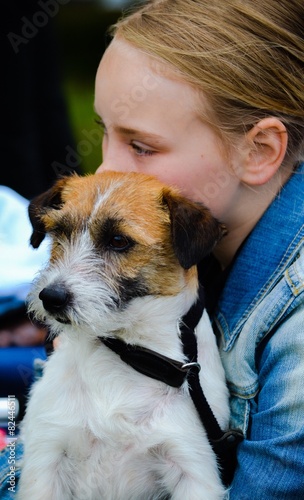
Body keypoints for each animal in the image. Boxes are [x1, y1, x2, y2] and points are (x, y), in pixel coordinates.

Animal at [16, 170, 229, 498]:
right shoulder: (47, 454)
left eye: (118, 241)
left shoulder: (193, 466)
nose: (51, 297)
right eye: (60, 232)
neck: (125, 350)